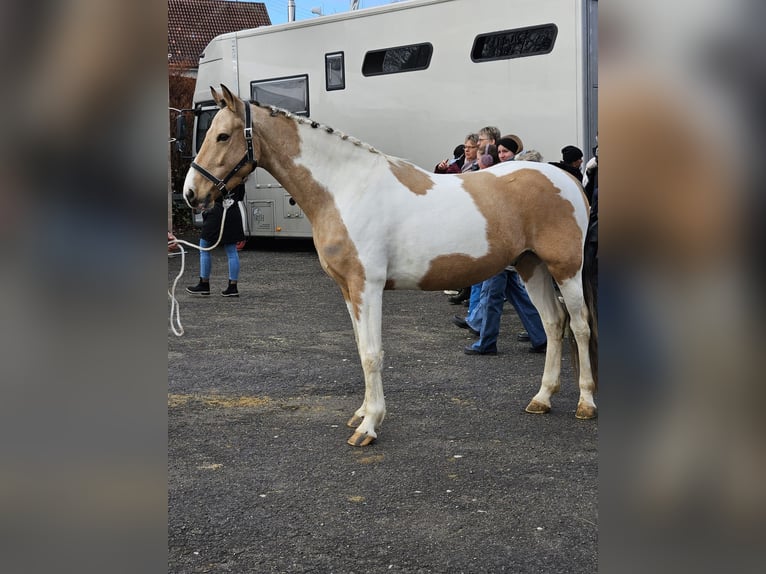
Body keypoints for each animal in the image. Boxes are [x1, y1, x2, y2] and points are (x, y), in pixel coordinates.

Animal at [183, 85, 597, 447]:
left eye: (222, 136)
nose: (191, 194)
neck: (345, 188)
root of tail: (567, 178)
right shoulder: (348, 289)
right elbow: (360, 348)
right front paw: (362, 413)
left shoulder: (367, 285)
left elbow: (372, 353)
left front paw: (369, 426)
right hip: (531, 266)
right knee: (553, 323)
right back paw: (542, 398)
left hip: (566, 268)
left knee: (578, 326)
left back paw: (585, 403)